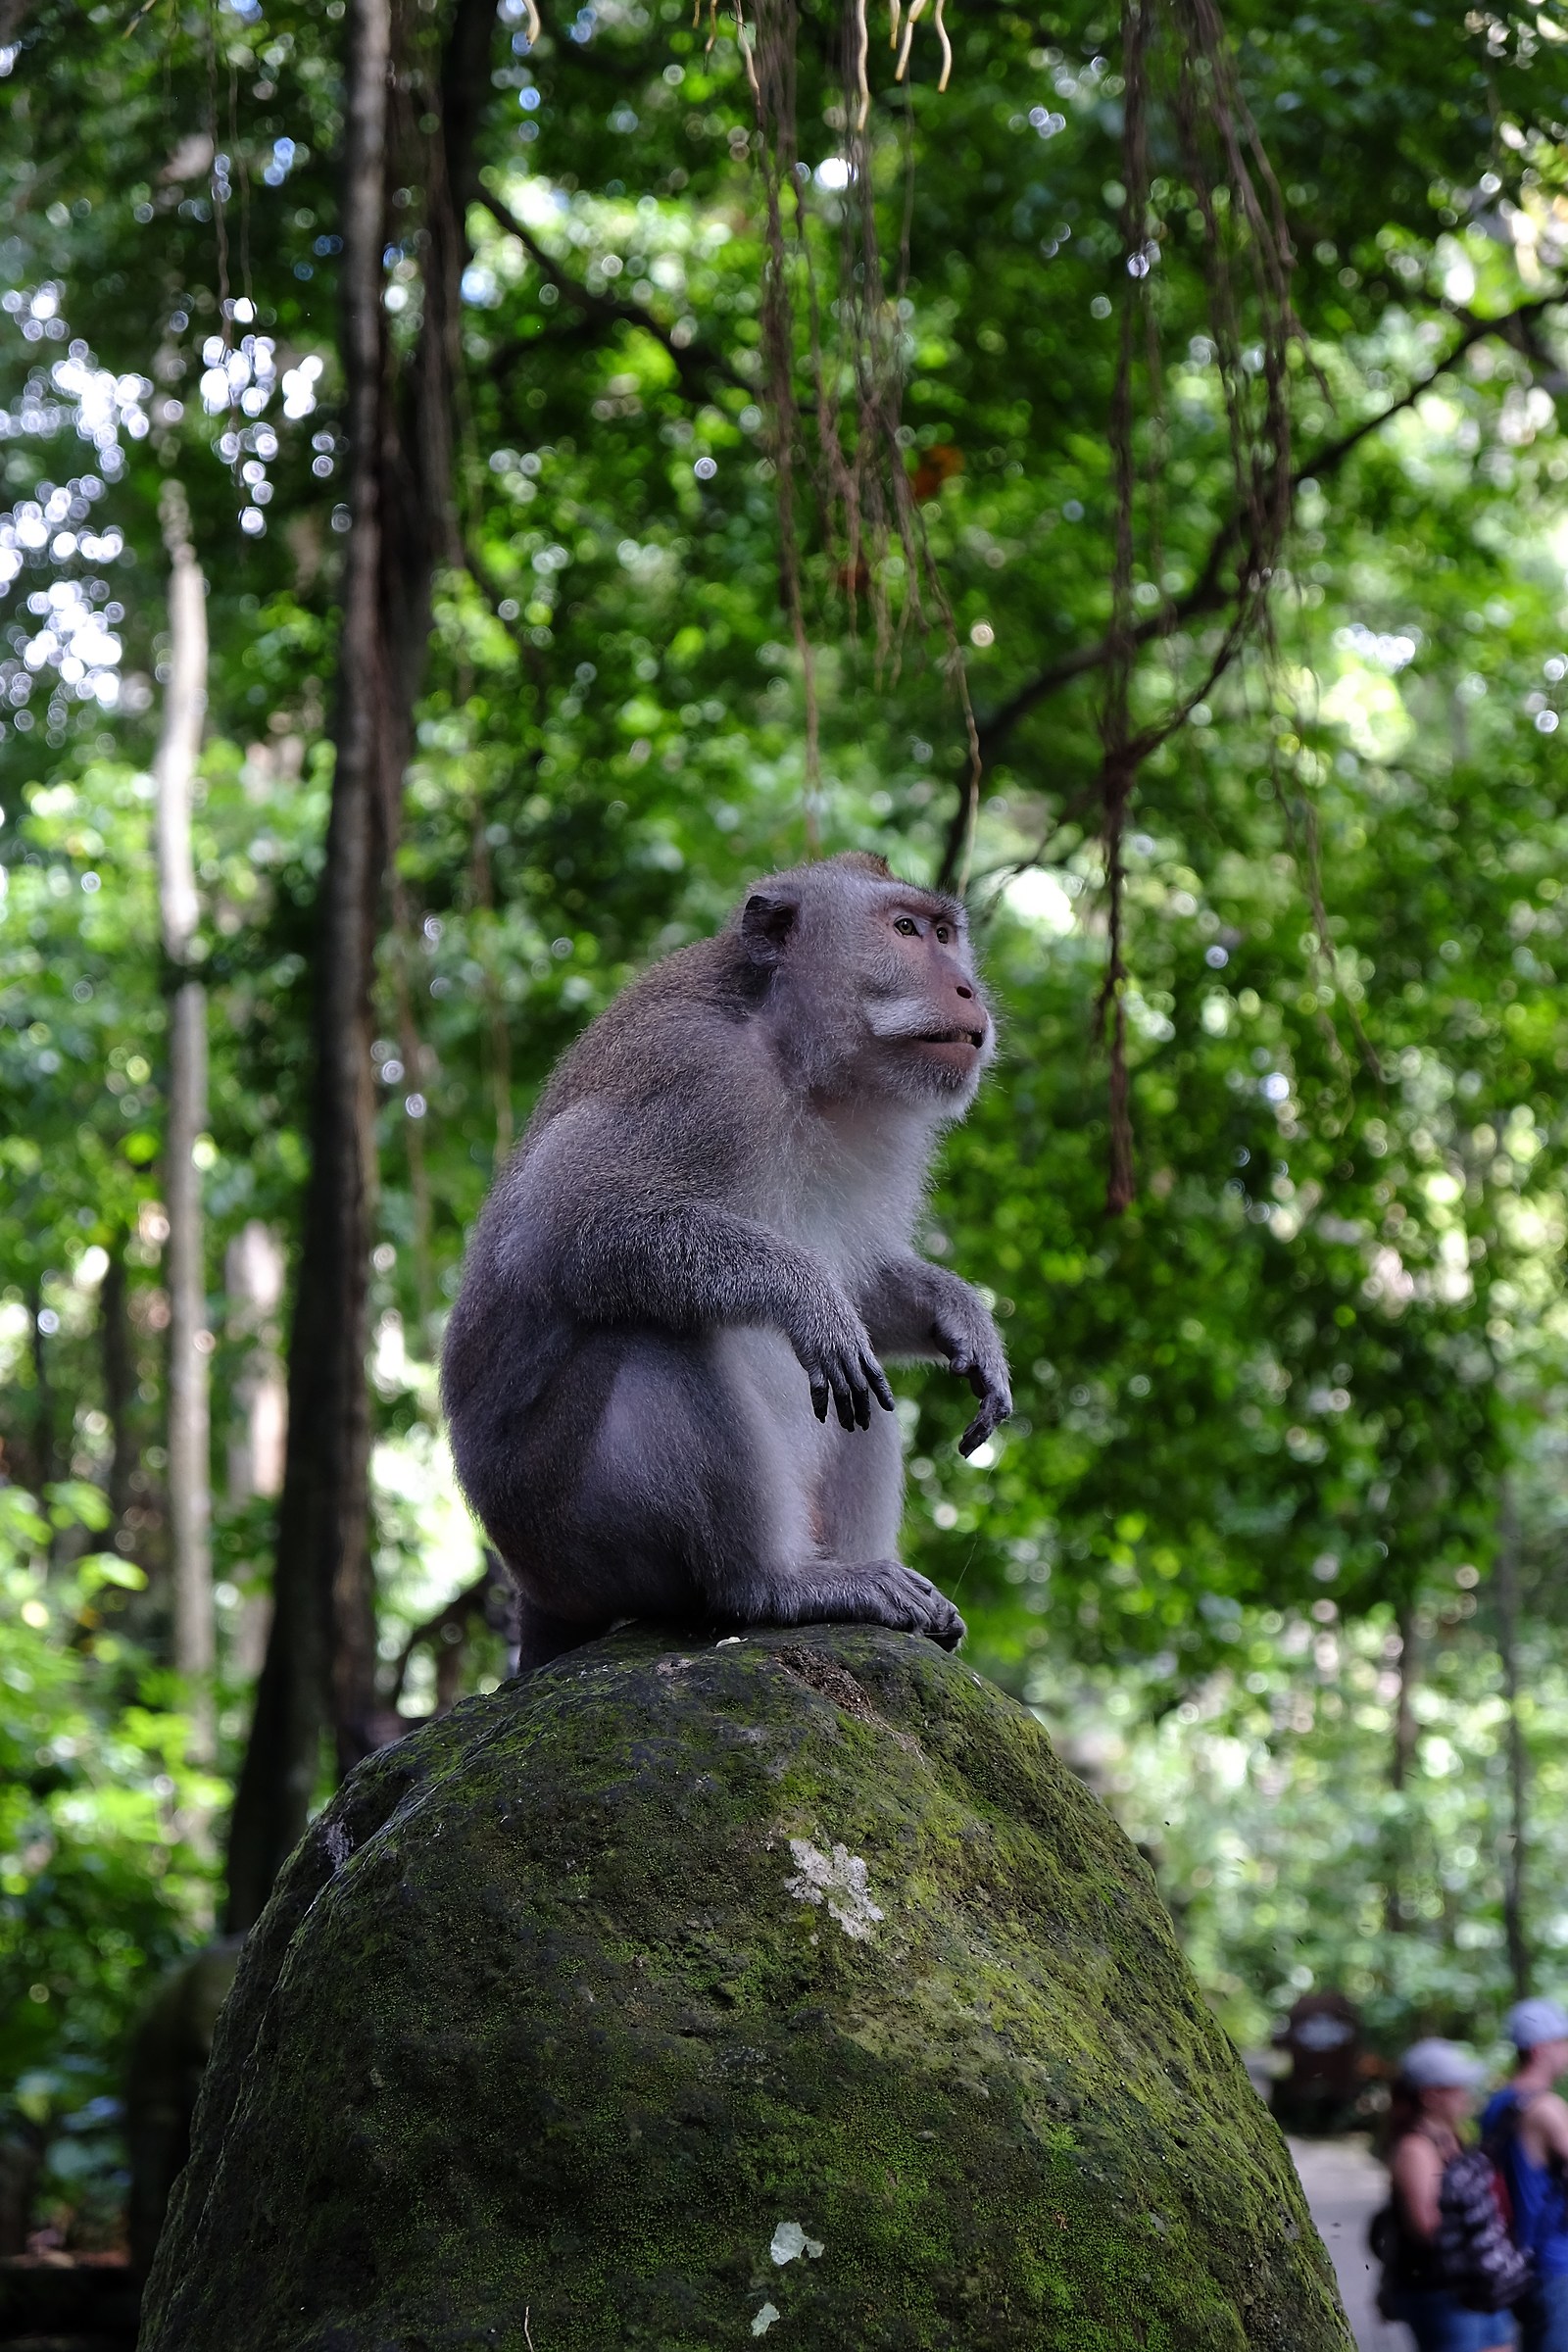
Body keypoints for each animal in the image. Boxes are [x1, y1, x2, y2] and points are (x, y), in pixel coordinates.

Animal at [440, 850, 1011, 1671]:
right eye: (904, 930)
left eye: (945, 934)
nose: (966, 988)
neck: (796, 1064)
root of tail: (537, 1591)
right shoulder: (693, 1076)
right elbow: (562, 1225)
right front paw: (804, 1293)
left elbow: (864, 1287)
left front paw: (961, 1317)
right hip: (574, 1533)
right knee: (660, 1332)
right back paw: (773, 1585)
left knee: (859, 1386)